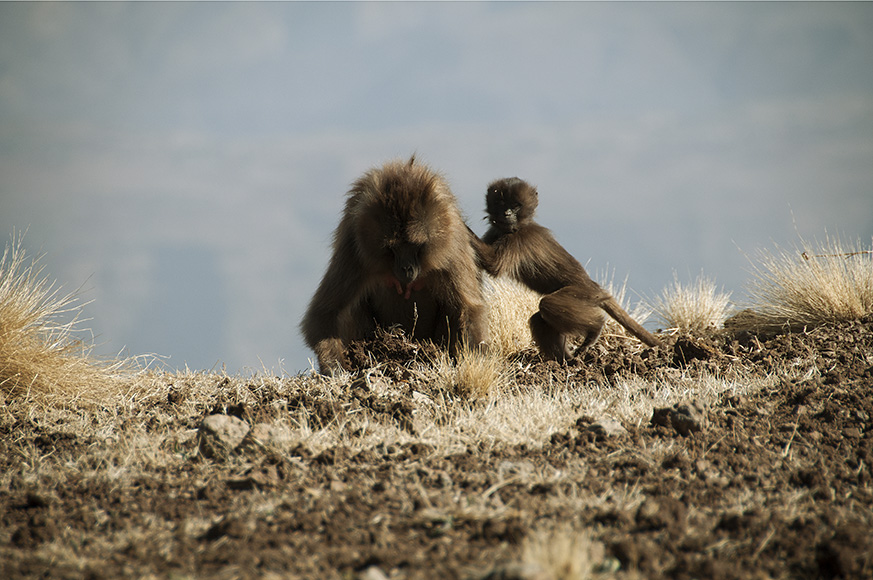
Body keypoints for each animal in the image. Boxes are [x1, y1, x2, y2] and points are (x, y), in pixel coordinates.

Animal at [300, 156, 489, 374]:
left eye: (415, 246)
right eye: (393, 247)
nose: (407, 269)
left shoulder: (452, 242)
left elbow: (468, 308)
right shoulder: (354, 246)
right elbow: (325, 312)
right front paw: (335, 368)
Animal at [479, 177, 663, 361]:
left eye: (516, 206)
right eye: (501, 203)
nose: (506, 214)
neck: (519, 226)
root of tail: (595, 287)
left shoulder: (520, 239)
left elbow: (492, 265)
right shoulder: (495, 231)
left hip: (582, 293)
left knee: (548, 304)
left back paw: (594, 329)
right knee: (539, 319)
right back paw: (564, 360)